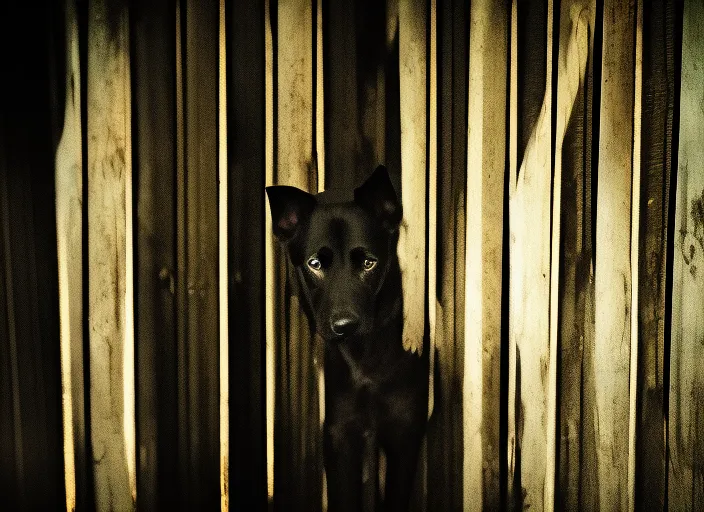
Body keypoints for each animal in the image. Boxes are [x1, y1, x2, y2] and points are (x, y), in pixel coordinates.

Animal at [266, 166, 426, 510]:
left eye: (368, 262)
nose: (345, 325)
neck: (365, 359)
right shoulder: (339, 435)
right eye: (315, 264)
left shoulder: (404, 433)